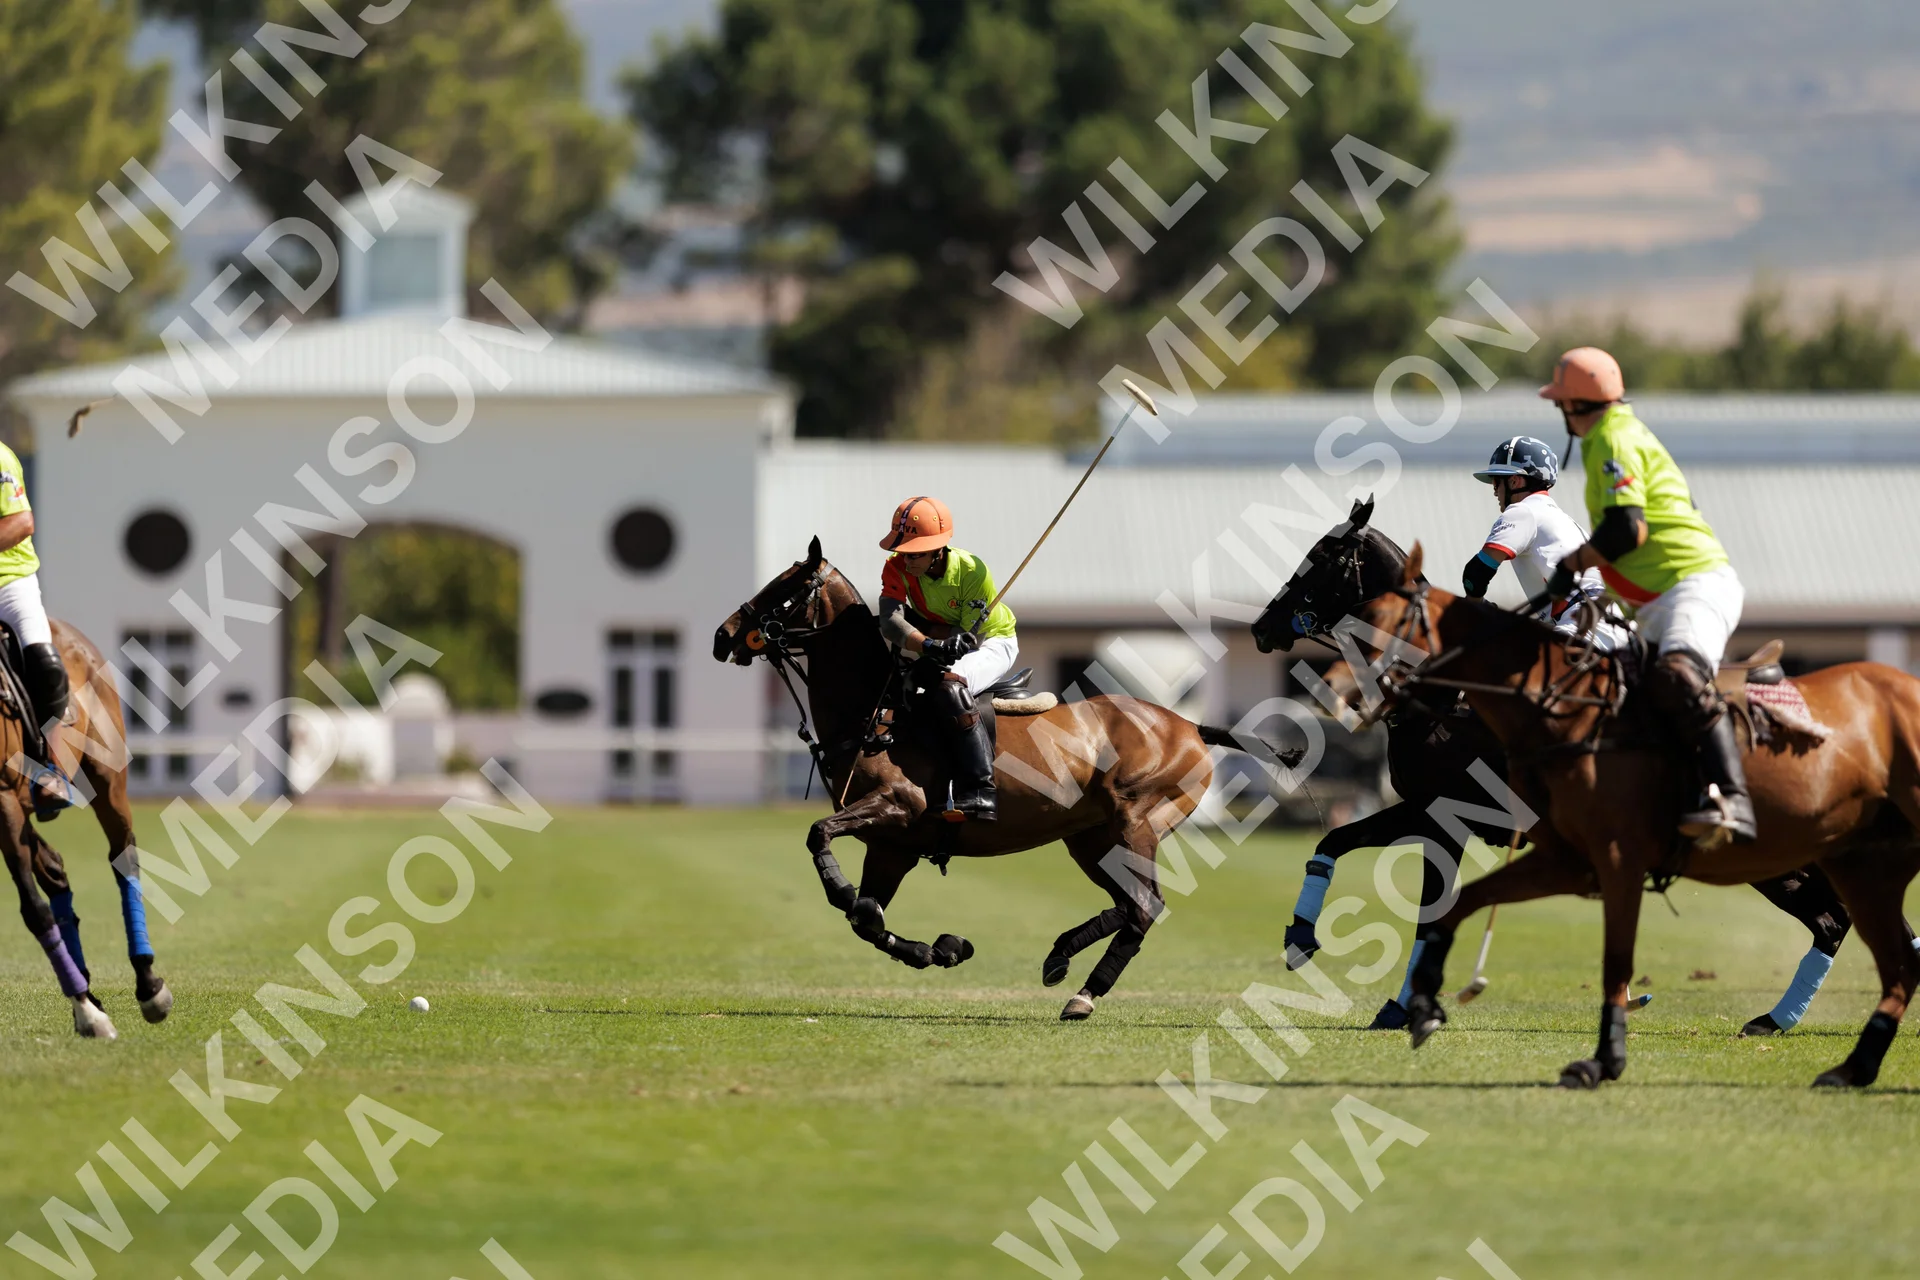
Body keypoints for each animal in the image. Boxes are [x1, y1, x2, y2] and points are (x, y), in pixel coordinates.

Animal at [4, 621, 171, 1040]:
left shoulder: (3, 796)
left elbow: (34, 909)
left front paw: (89, 1016)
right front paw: (86, 1008)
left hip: (106, 775)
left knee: (123, 856)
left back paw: (146, 985)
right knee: (54, 869)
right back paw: (85, 989)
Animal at [713, 538, 1289, 1021]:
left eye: (784, 590)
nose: (722, 637)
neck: (876, 713)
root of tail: (1190, 726)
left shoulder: (899, 803)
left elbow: (821, 838)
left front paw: (842, 888)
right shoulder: (891, 844)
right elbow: (866, 918)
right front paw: (938, 949)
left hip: (1136, 822)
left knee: (1145, 907)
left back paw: (1084, 993)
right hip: (1092, 839)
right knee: (1131, 905)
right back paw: (1059, 957)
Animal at [1248, 500, 1859, 1037]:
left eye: (1319, 556)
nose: (1262, 627)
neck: (1444, 695)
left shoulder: (1443, 819)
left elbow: (1427, 911)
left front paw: (1399, 1007)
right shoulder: (1425, 812)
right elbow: (1333, 841)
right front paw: (1300, 936)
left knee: (1831, 920)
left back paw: (1776, 1020)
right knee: (1833, 918)